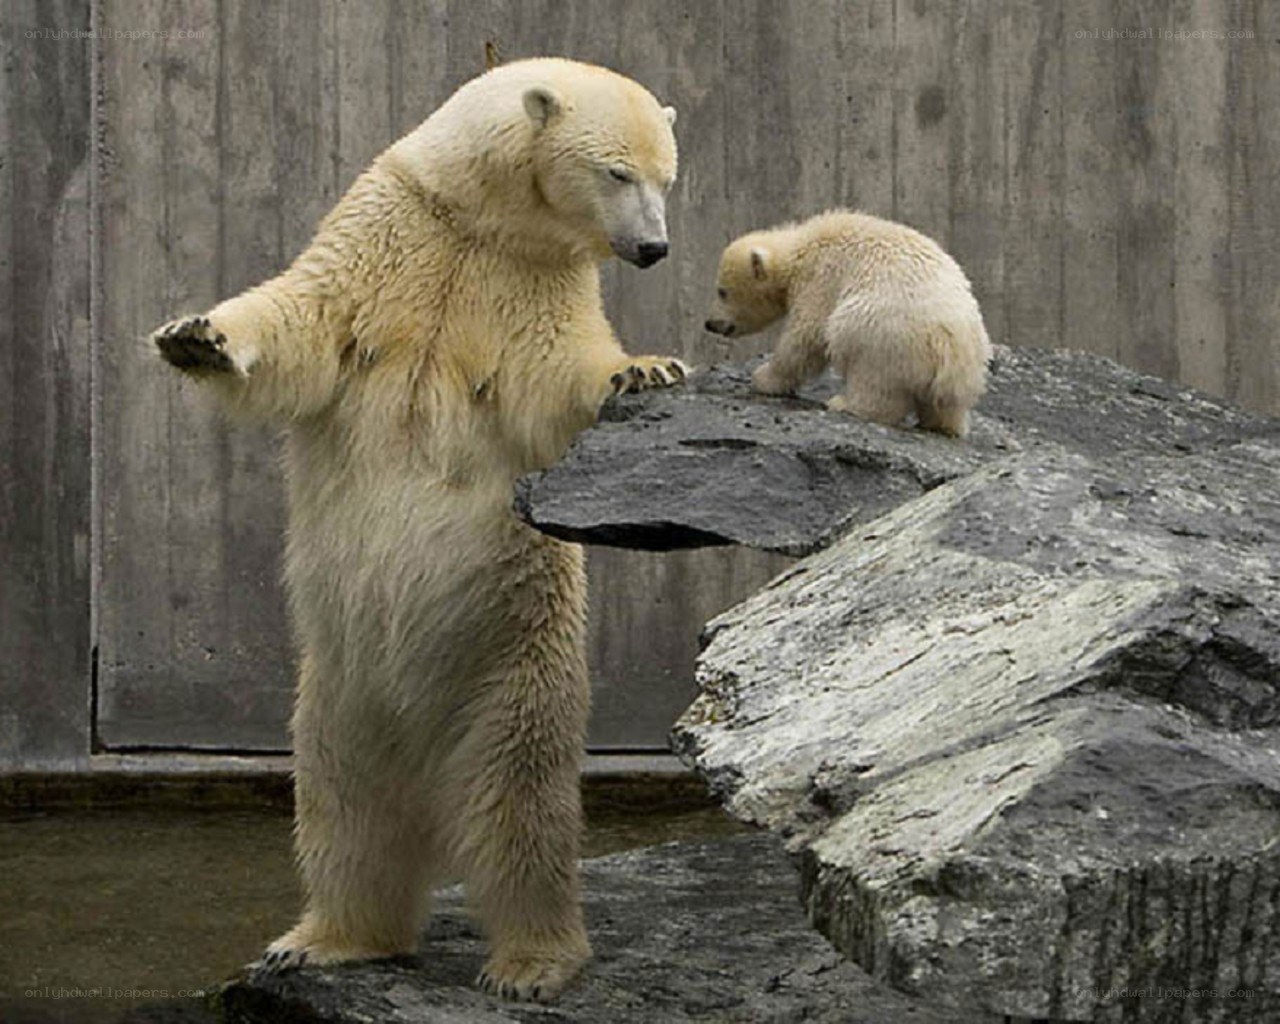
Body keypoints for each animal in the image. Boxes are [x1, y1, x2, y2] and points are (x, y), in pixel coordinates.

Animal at [150, 58, 686, 1002]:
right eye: (619, 173)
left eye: (669, 177)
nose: (653, 249)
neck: (478, 218)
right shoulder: (388, 234)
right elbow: (300, 321)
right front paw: (194, 336)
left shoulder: (534, 283)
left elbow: (559, 375)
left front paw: (644, 369)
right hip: (336, 693)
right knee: (345, 811)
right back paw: (325, 937)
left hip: (516, 665)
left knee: (521, 814)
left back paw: (531, 963)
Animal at [704, 210, 991, 437]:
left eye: (722, 291)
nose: (710, 323)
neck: (799, 250)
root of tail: (950, 352)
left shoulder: (822, 277)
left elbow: (806, 335)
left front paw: (763, 378)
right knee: (945, 407)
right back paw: (941, 424)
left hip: (881, 332)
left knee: (869, 370)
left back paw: (844, 403)